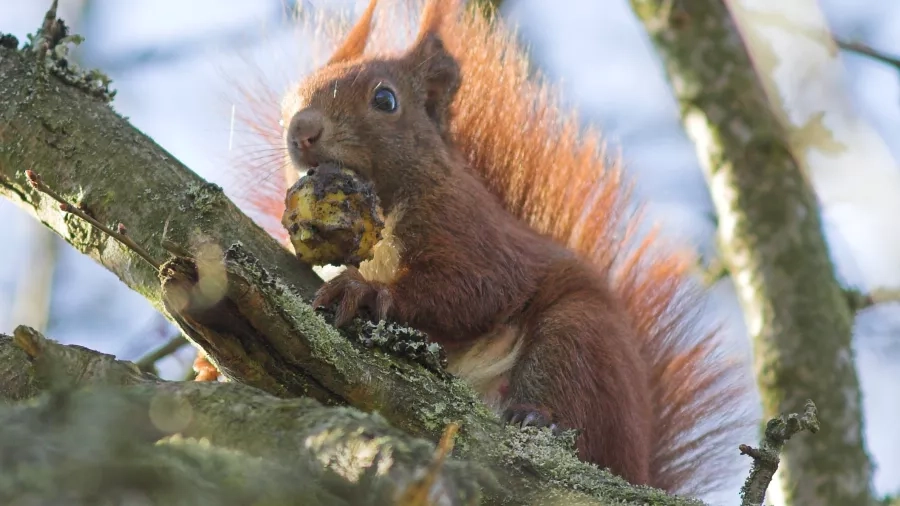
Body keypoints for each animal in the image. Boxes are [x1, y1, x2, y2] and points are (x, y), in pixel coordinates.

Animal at [230, 0, 744, 498]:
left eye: (385, 99)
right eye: (289, 102)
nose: (301, 130)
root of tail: (637, 467)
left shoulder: (472, 227)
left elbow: (477, 289)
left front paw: (366, 291)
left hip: (581, 340)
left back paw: (536, 416)